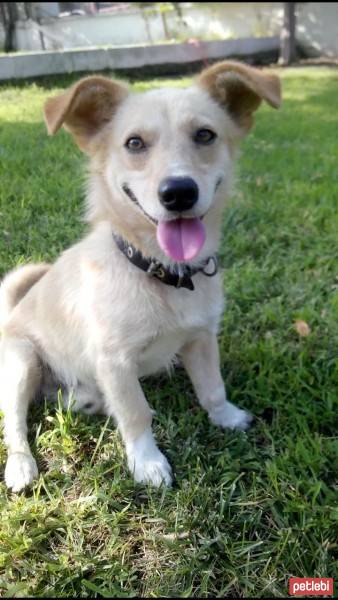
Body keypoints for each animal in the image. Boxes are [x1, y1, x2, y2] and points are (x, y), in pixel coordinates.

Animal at [0, 61, 280, 492]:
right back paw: (20, 465)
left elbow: (212, 387)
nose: (178, 192)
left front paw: (227, 417)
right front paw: (147, 463)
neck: (162, 272)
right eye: (134, 143)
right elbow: (136, 413)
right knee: (14, 422)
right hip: (21, 362)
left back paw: (84, 400)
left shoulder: (201, 337)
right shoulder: (114, 362)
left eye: (205, 135)